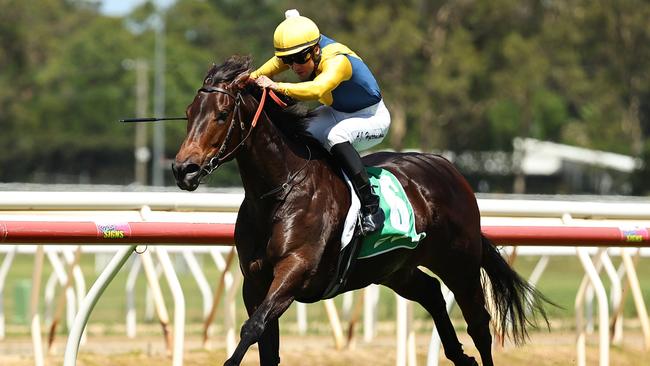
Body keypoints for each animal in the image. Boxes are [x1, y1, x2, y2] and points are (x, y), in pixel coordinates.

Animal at [172, 55, 548, 366]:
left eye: (222, 115)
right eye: (189, 113)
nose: (183, 169)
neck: (279, 191)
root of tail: (450, 169)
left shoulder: (295, 270)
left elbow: (252, 328)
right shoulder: (255, 280)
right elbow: (266, 343)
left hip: (460, 263)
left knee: (479, 325)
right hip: (395, 268)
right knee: (431, 293)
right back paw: (459, 356)